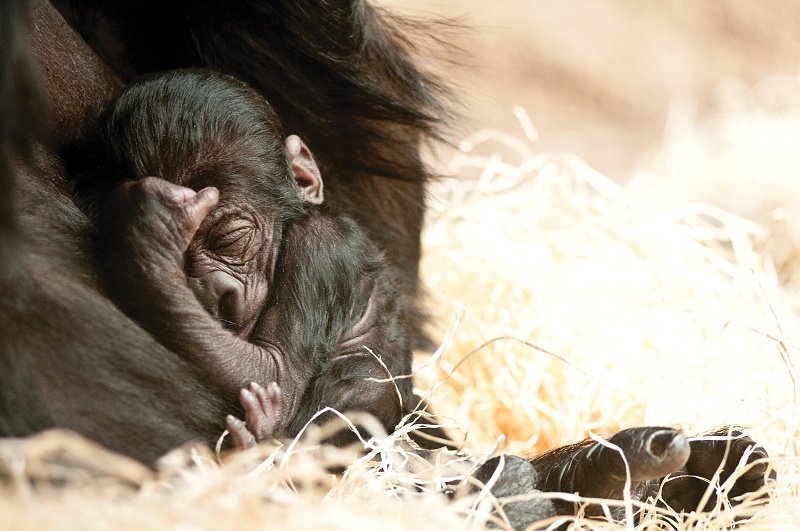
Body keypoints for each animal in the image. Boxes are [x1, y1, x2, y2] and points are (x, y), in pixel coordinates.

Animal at [89, 68, 412, 446]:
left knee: (366, 379)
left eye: (230, 238)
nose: (212, 293)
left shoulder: (320, 249)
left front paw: (147, 230)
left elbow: (276, 371)